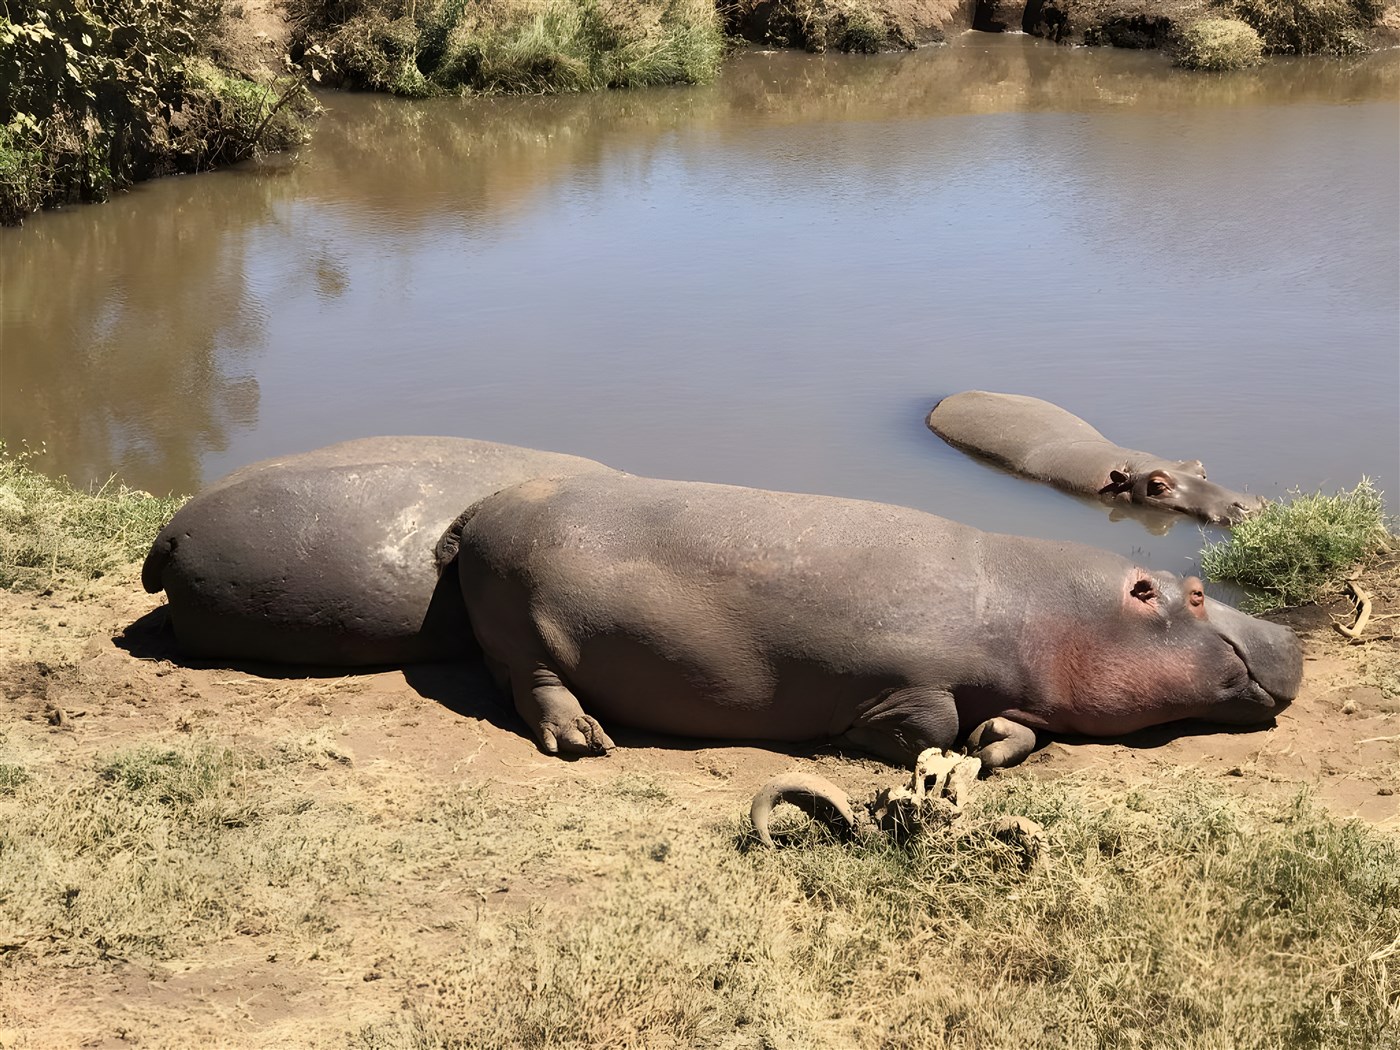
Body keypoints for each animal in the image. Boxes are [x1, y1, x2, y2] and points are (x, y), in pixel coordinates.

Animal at [442, 472, 1301, 767]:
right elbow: (927, 723)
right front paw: (860, 740)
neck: (1045, 606)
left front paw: (991, 743)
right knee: (536, 688)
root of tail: (478, 507)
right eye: (1196, 594)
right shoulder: (906, 673)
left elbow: (1013, 731)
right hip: (522, 627)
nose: (1291, 635)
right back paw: (584, 742)